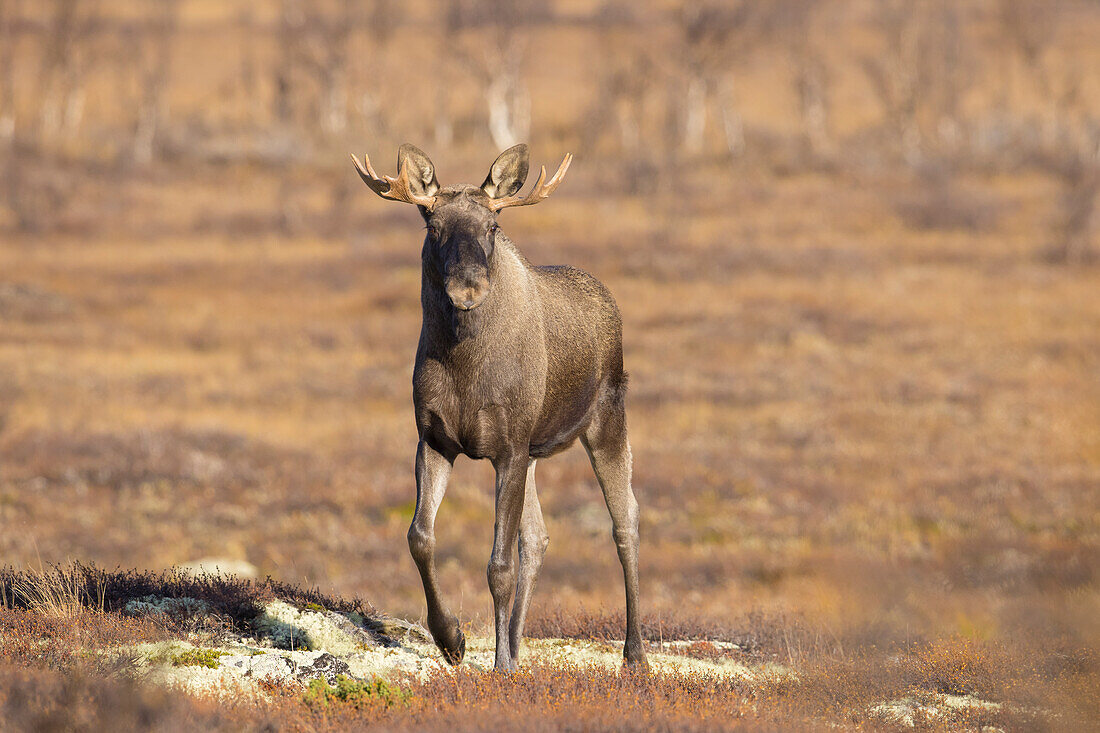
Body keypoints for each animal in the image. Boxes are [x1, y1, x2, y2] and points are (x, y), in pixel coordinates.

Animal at [352, 144, 642, 673]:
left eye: (492, 225)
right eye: (432, 224)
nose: (467, 290)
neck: (465, 367)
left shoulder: (508, 448)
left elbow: (499, 565)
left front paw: (499, 665)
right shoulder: (435, 439)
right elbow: (420, 537)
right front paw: (452, 639)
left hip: (607, 420)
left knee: (625, 521)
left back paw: (635, 655)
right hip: (536, 452)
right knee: (540, 536)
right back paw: (518, 645)